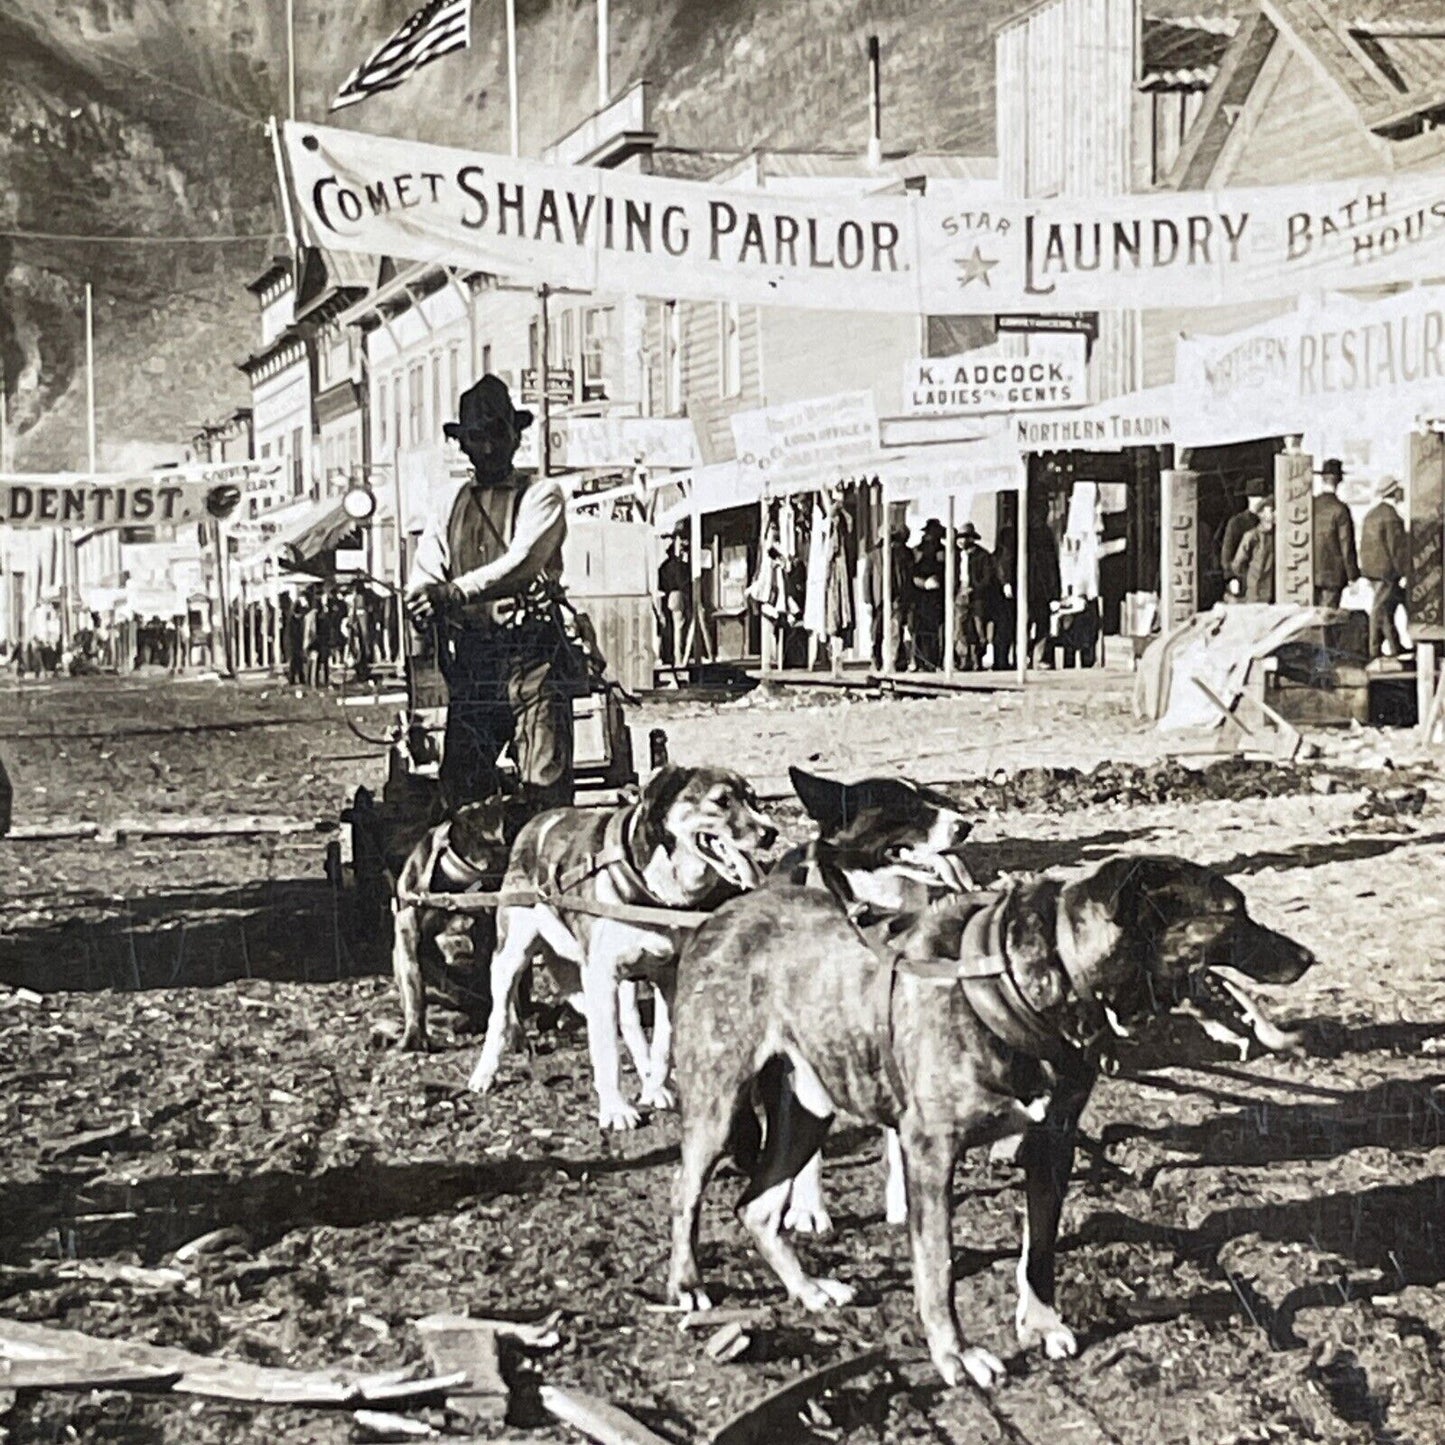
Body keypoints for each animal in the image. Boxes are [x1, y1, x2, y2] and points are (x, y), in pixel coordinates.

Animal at [670, 855, 1317, 1387]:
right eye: (1233, 914)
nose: (1309, 958)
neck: (1032, 980)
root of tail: (721, 916)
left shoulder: (1053, 1144)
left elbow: (1040, 1252)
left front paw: (1040, 1322)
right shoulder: (930, 1154)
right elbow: (938, 1268)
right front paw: (954, 1354)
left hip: (809, 1111)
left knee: (756, 1208)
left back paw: (806, 1290)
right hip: (717, 1105)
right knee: (686, 1193)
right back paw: (688, 1285)